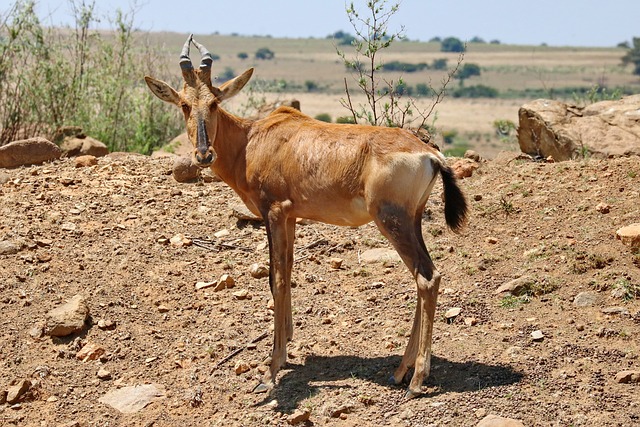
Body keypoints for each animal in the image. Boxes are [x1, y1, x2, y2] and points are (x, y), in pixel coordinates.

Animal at [149, 35, 470, 400]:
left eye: (215, 102)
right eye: (184, 105)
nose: (204, 154)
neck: (253, 139)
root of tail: (431, 154)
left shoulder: (273, 211)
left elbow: (275, 278)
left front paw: (271, 369)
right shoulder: (290, 216)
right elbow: (288, 271)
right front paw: (287, 341)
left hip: (392, 221)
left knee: (426, 277)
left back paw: (416, 380)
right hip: (411, 220)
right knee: (426, 276)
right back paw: (401, 371)